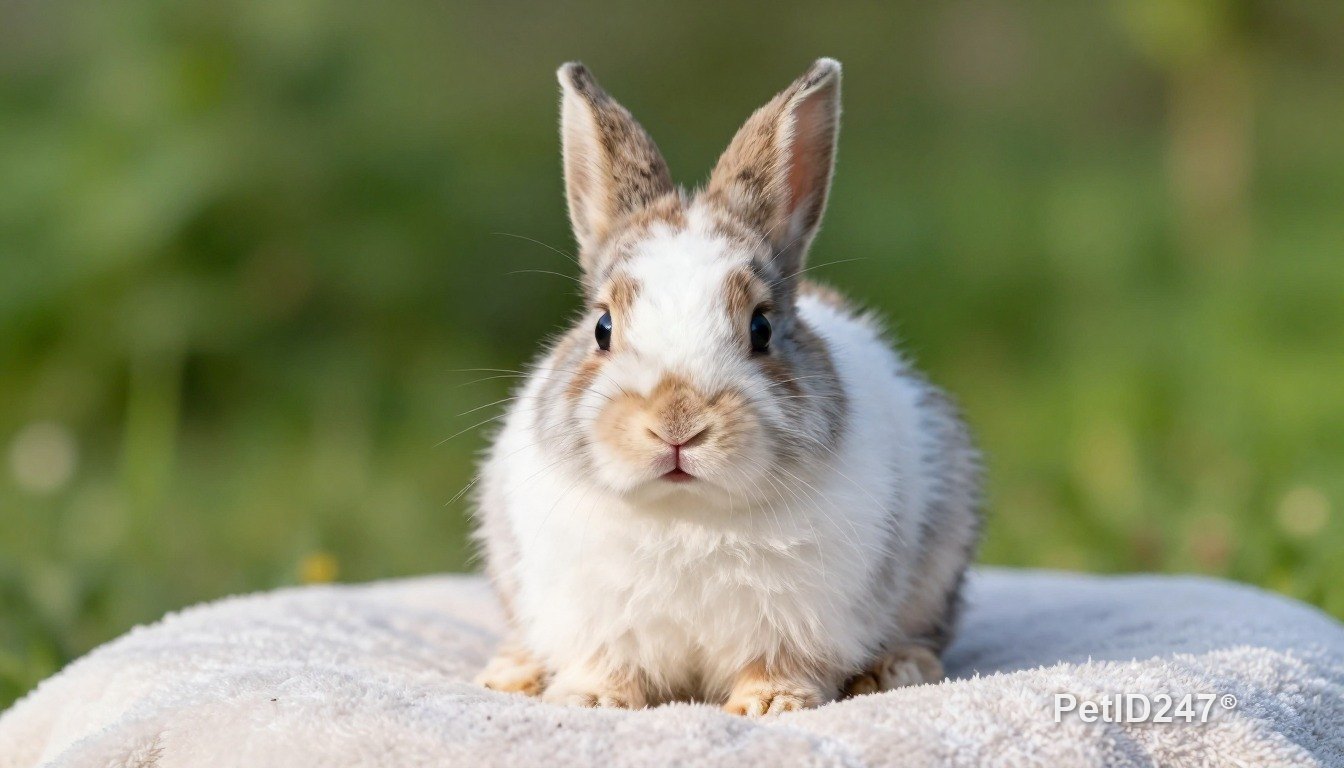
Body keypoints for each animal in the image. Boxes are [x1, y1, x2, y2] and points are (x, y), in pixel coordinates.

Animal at [472, 58, 981, 714]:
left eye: (760, 328)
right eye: (602, 328)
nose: (677, 424)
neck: (687, 513)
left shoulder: (802, 623)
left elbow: (781, 663)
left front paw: (770, 704)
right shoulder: (592, 618)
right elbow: (606, 662)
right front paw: (590, 700)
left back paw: (896, 669)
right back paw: (512, 672)